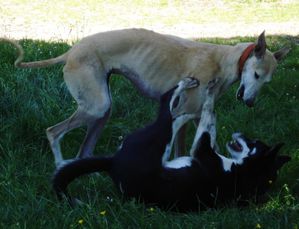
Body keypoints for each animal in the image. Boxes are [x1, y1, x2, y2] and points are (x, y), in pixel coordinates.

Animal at [0, 29, 290, 167]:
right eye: (255, 74)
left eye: (266, 82)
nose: (250, 103)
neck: (224, 60)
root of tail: (71, 51)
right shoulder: (182, 114)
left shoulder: (197, 117)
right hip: (96, 107)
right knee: (52, 131)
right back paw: (60, 165)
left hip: (101, 110)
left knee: (84, 150)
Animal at [52, 78, 292, 212]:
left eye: (253, 143)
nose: (240, 133)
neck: (244, 173)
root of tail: (113, 164)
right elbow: (210, 122)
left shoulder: (201, 149)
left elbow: (207, 117)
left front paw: (209, 97)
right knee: (171, 111)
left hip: (158, 138)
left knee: (167, 109)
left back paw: (188, 94)